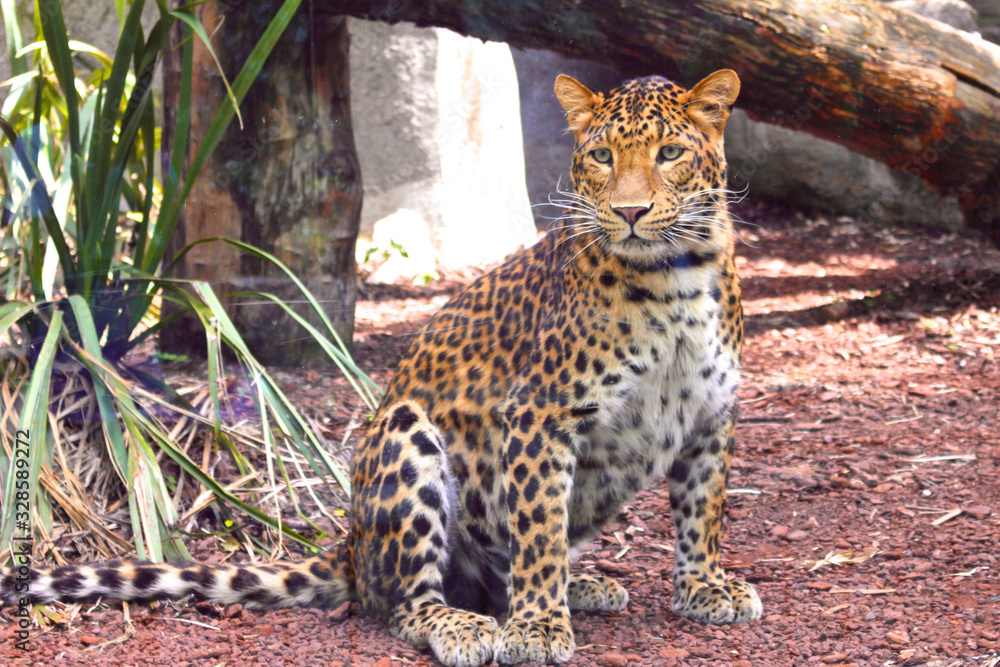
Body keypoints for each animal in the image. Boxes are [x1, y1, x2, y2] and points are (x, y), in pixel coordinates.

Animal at [1, 69, 762, 665]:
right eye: (601, 156)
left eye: (669, 153)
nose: (630, 212)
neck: (675, 280)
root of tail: (351, 545)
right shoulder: (540, 415)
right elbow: (540, 527)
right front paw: (541, 628)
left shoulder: (712, 413)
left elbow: (704, 510)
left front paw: (705, 588)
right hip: (405, 437)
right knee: (404, 602)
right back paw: (467, 623)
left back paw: (582, 586)